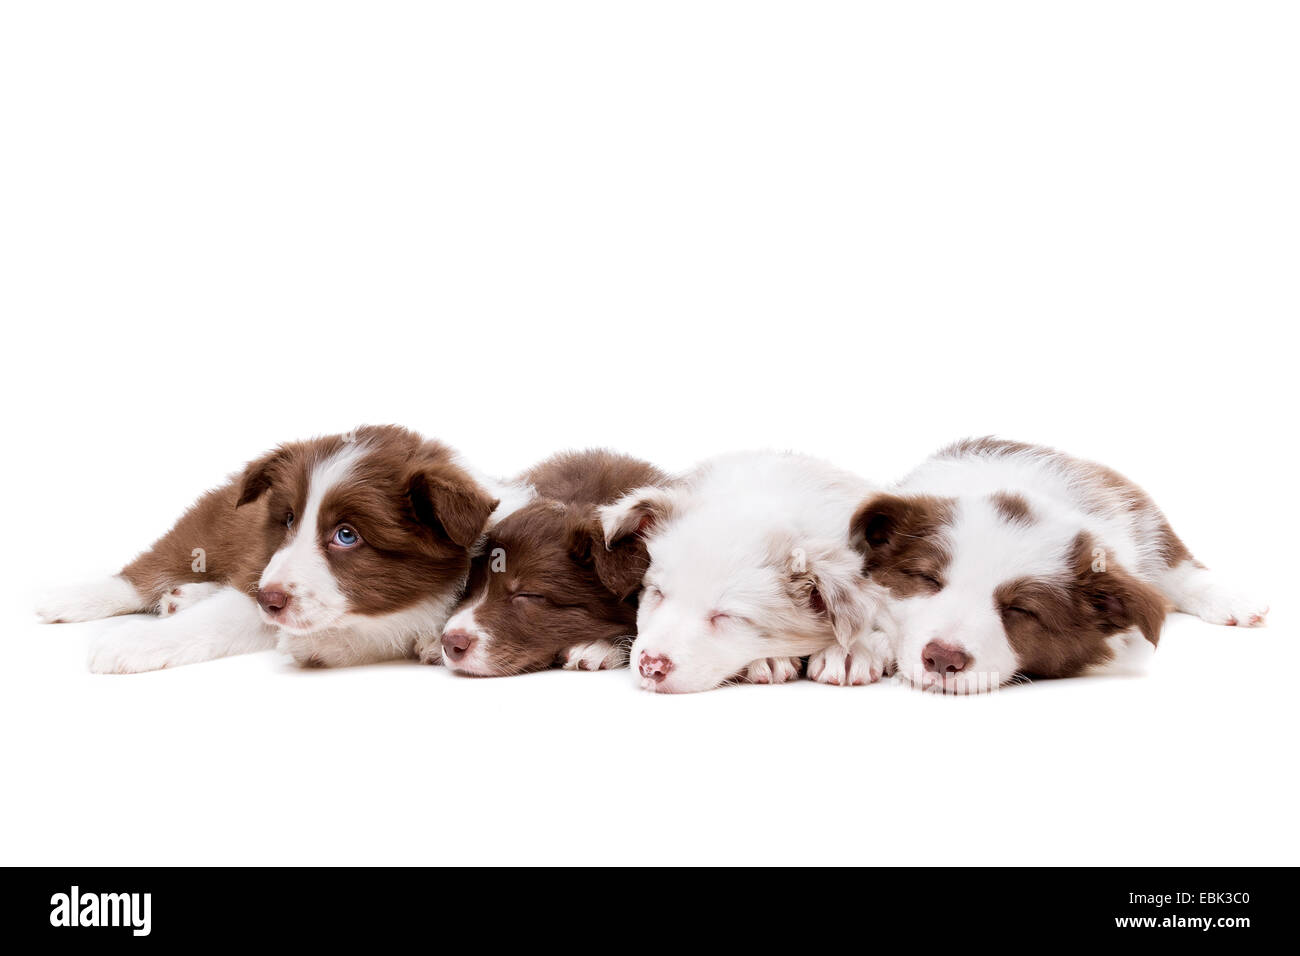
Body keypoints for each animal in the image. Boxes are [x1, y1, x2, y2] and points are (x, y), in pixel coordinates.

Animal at [34, 426, 501, 671]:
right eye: (289, 519)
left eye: (346, 535)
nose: (267, 598)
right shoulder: (259, 577)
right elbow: (214, 619)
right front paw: (131, 642)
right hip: (203, 533)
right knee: (142, 573)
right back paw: (69, 600)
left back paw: (183, 597)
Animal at [852, 439, 1268, 697]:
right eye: (928, 579)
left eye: (1021, 609)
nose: (942, 658)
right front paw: (859, 651)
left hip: (1145, 517)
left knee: (1178, 565)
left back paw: (1233, 602)